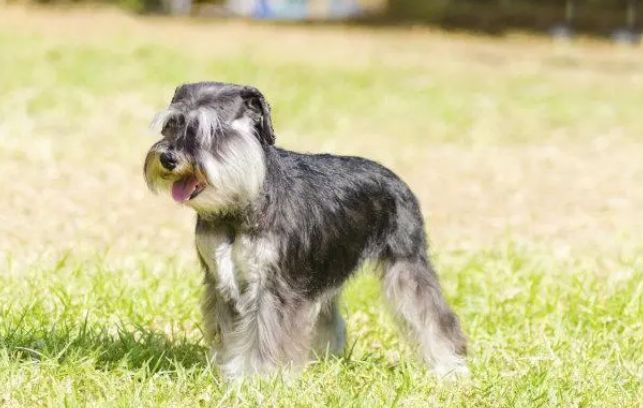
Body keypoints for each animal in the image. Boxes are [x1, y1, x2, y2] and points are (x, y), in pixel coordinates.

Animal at [145, 81, 468, 380]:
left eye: (211, 129)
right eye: (170, 125)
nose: (168, 158)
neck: (241, 202)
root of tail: (396, 180)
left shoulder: (273, 287)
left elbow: (262, 336)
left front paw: (254, 378)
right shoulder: (221, 283)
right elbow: (229, 333)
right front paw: (227, 371)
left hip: (406, 266)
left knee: (433, 318)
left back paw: (450, 367)